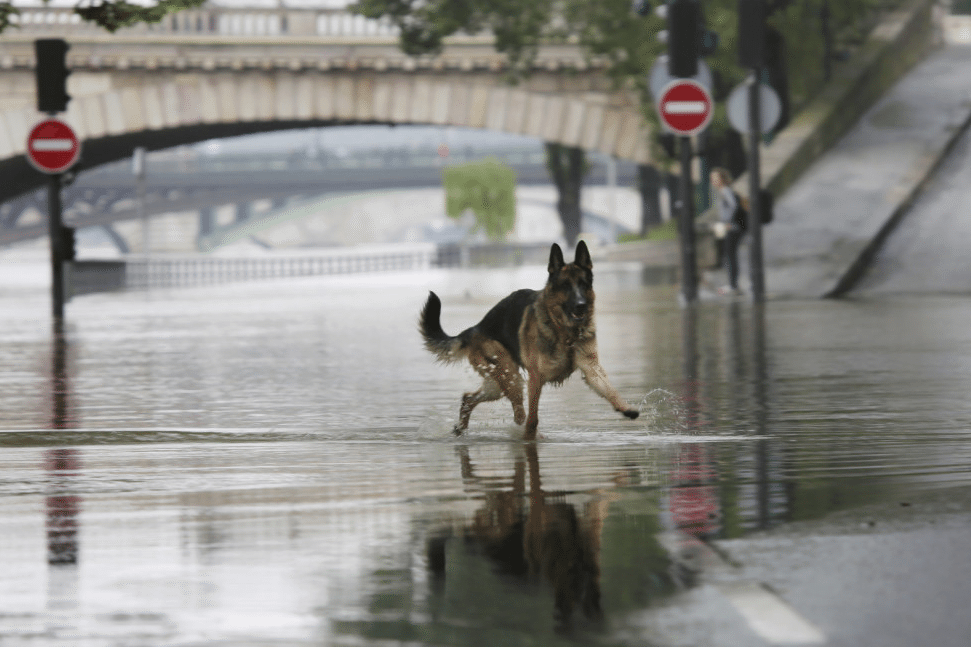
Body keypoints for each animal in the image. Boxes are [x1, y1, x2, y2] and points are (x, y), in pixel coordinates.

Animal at [416, 240, 636, 442]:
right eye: (565, 285)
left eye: (583, 284)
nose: (581, 305)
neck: (563, 331)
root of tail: (475, 328)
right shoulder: (536, 378)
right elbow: (533, 417)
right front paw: (529, 437)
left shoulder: (591, 369)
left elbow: (610, 390)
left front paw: (626, 408)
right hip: (511, 378)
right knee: (518, 413)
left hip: (498, 385)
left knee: (468, 398)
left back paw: (460, 429)